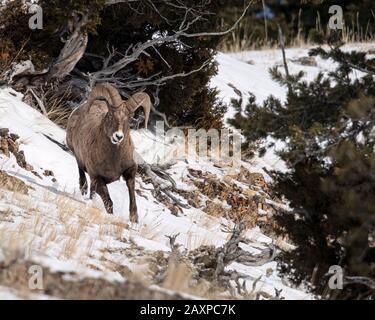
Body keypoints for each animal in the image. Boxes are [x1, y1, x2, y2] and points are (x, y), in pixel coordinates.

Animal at [67, 84, 152, 222]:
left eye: (129, 119)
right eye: (111, 115)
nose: (118, 136)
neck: (113, 160)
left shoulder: (130, 170)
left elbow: (132, 192)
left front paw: (134, 219)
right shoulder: (97, 178)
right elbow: (109, 202)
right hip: (77, 156)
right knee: (81, 170)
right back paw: (83, 189)